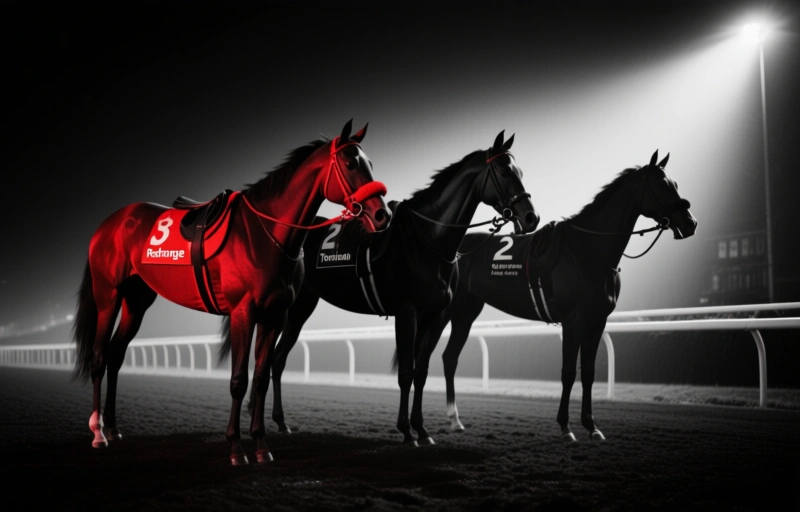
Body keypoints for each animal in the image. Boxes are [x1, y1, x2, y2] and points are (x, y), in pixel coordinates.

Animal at [71, 120, 391, 465]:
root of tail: (109, 223)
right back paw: (99, 433)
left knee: (116, 356)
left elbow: (261, 378)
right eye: (350, 164)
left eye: (370, 164)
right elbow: (239, 380)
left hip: (137, 301)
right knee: (99, 357)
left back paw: (114, 428)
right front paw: (237, 448)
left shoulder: (275, 316)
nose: (382, 215)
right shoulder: (243, 312)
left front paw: (262, 445)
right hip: (108, 296)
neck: (266, 235)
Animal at [228, 130, 540, 446]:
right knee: (273, 360)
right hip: (291, 307)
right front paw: (406, 430)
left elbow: (421, 372)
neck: (428, 240)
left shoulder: (435, 316)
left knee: (277, 361)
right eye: (505, 171)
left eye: (521, 172)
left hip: (301, 307)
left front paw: (422, 430)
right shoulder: (407, 312)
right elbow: (406, 372)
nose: (531, 217)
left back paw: (279, 421)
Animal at [434, 150, 697, 441]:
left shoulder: (597, 321)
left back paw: (454, 419)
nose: (690, 223)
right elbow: (569, 372)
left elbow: (589, 372)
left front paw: (592, 426)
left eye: (674, 183)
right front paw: (565, 426)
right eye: (663, 186)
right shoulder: (574, 319)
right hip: (446, 311)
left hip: (467, 312)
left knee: (449, 358)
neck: (588, 250)